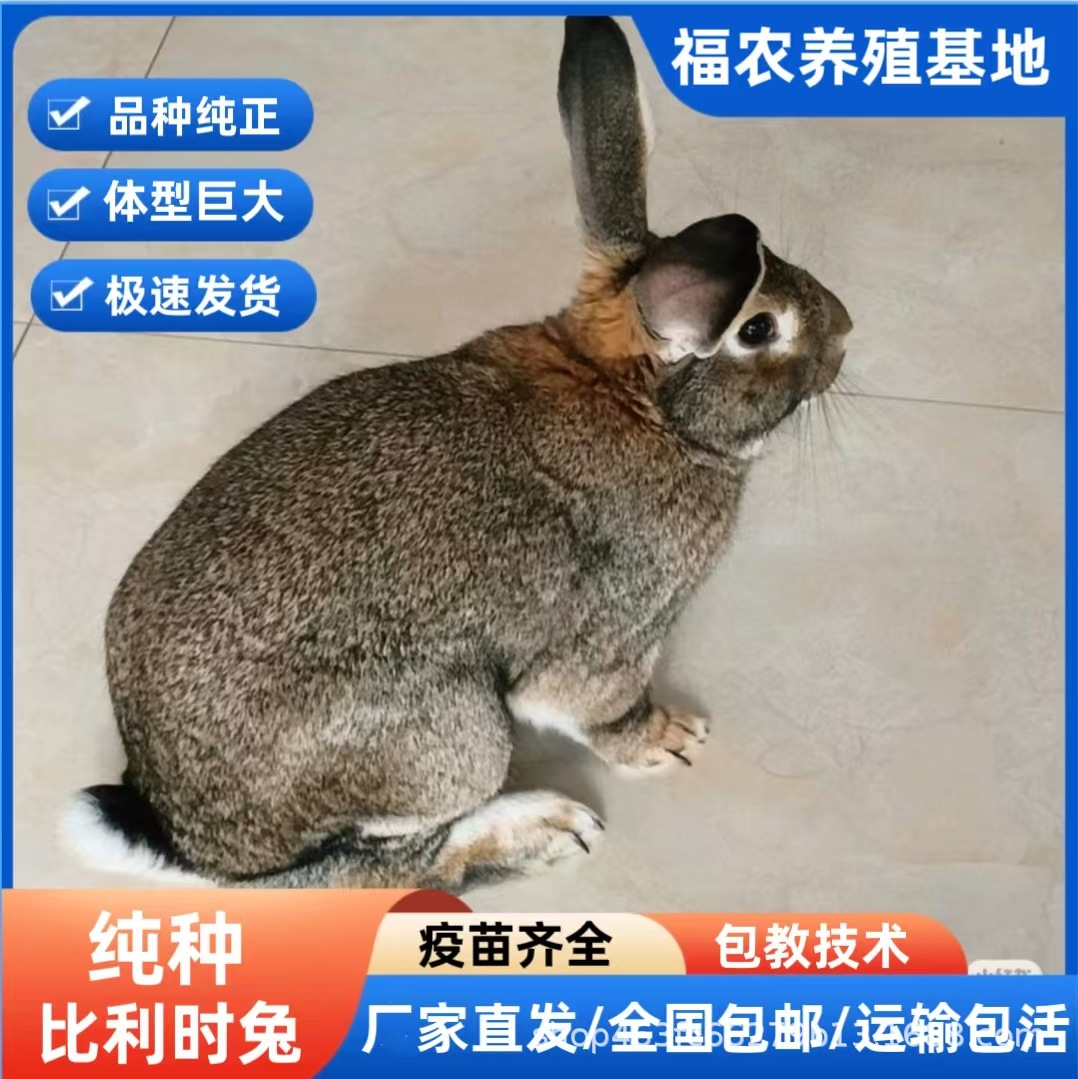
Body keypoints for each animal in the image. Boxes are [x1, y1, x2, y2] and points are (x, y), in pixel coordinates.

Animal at [65, 16, 851, 891]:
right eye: (759, 328)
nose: (846, 332)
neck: (639, 402)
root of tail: (192, 840)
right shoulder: (613, 633)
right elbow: (598, 706)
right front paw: (669, 740)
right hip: (455, 733)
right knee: (392, 865)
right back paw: (546, 830)